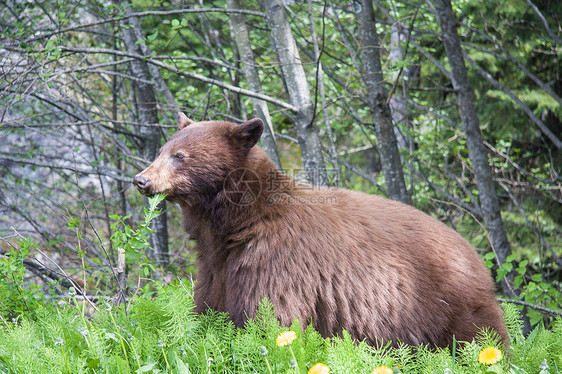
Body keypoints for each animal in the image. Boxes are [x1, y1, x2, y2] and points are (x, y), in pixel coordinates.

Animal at [132, 113, 508, 348]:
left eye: (181, 155)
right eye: (162, 150)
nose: (141, 179)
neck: (238, 223)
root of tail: (475, 255)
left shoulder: (275, 263)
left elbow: (270, 320)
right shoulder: (219, 266)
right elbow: (211, 307)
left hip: (448, 303)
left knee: (478, 340)